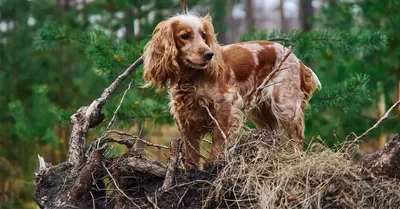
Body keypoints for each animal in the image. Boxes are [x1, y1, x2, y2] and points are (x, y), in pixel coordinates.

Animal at [142, 14, 320, 168]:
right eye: (185, 36)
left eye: (204, 36)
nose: (209, 54)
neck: (192, 78)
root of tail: (298, 60)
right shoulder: (187, 118)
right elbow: (191, 154)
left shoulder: (226, 104)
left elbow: (218, 139)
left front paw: (213, 164)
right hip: (261, 112)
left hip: (284, 105)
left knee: (296, 137)